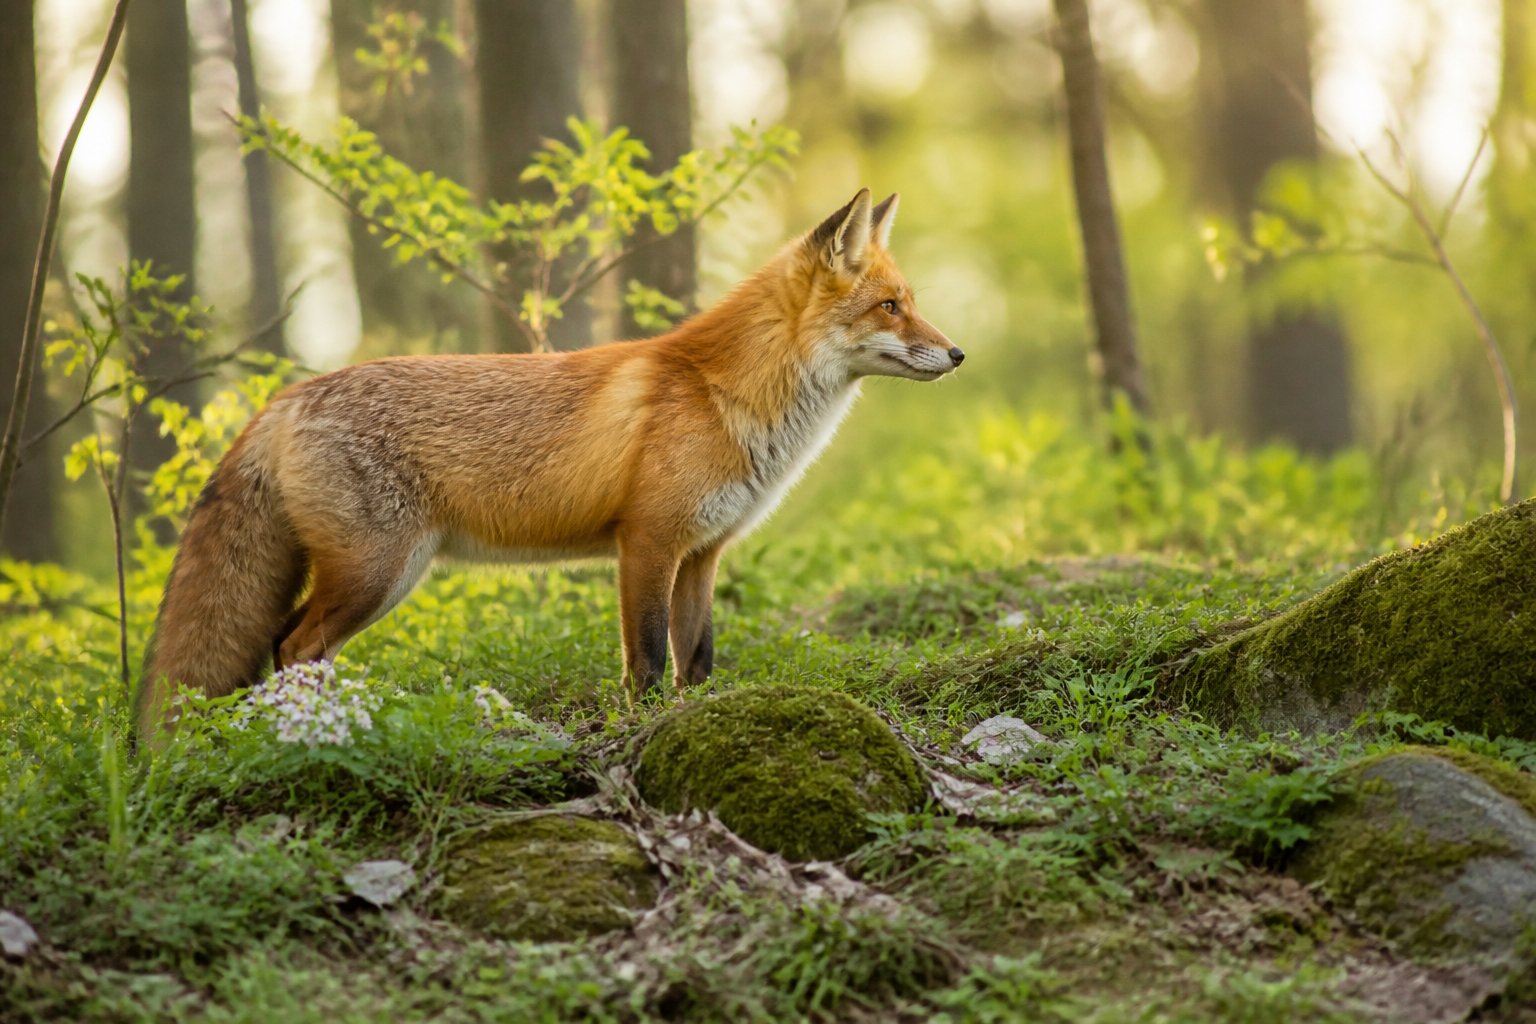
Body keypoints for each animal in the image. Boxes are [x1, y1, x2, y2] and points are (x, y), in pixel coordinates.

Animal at [135, 188, 964, 747]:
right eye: (890, 307)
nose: (957, 354)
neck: (726, 395)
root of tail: (285, 397)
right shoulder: (648, 543)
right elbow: (648, 660)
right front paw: (643, 730)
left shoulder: (702, 554)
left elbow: (697, 661)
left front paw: (696, 720)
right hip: (378, 572)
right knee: (291, 647)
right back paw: (316, 730)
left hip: (371, 577)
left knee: (284, 649)